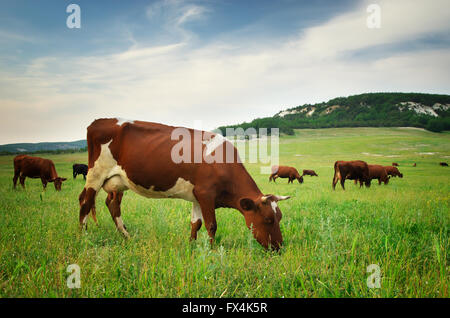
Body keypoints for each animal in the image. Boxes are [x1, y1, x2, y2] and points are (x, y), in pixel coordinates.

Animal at [78, 118, 290, 250]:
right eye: (268, 220)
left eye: (279, 217)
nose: (279, 247)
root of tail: (97, 122)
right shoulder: (206, 194)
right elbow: (211, 225)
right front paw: (211, 250)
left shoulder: (198, 197)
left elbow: (196, 224)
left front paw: (191, 246)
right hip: (95, 174)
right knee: (85, 202)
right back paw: (84, 237)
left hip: (117, 182)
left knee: (112, 204)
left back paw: (127, 236)